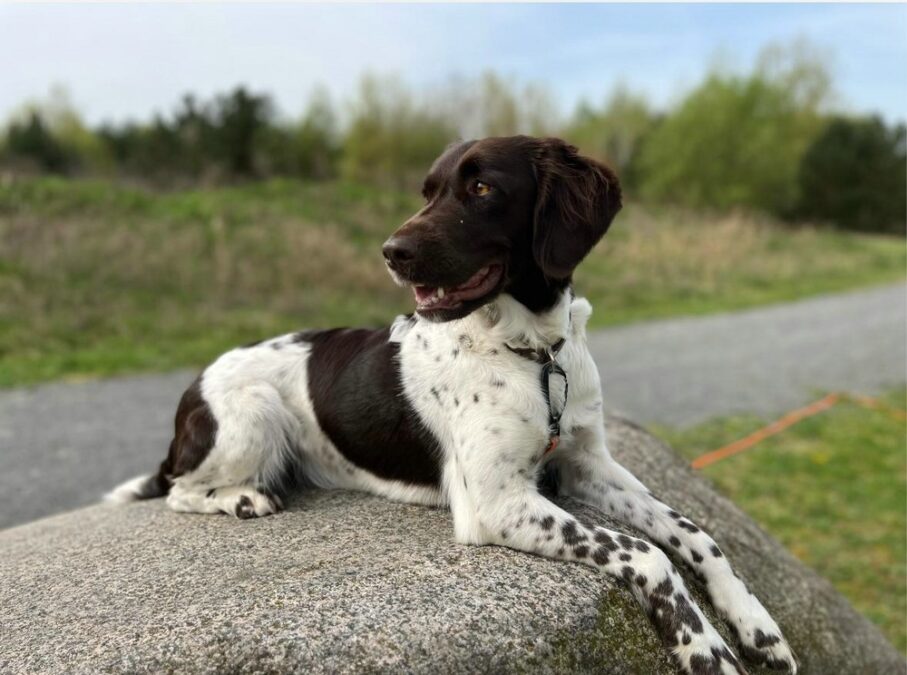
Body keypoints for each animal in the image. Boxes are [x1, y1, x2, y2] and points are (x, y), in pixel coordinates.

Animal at [110, 137, 800, 675]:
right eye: (428, 191)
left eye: (483, 188)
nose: (391, 252)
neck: (534, 353)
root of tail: (191, 393)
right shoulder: (498, 503)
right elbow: (647, 554)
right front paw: (705, 648)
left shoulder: (587, 464)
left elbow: (695, 532)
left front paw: (756, 625)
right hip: (253, 412)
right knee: (179, 491)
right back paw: (243, 498)